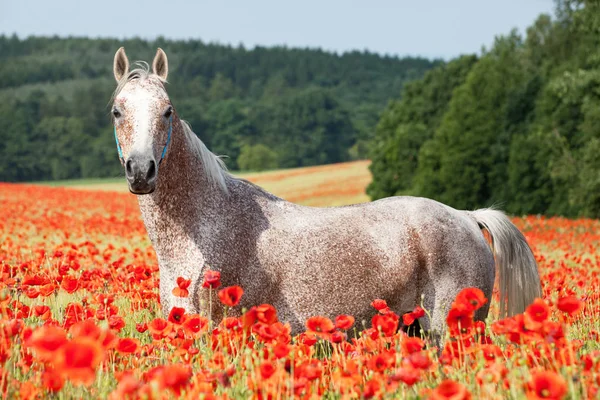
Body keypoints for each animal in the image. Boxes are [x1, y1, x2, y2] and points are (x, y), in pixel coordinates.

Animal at [110, 47, 540, 346]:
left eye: (168, 111)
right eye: (117, 111)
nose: (141, 170)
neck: (206, 227)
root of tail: (467, 217)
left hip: (448, 331)